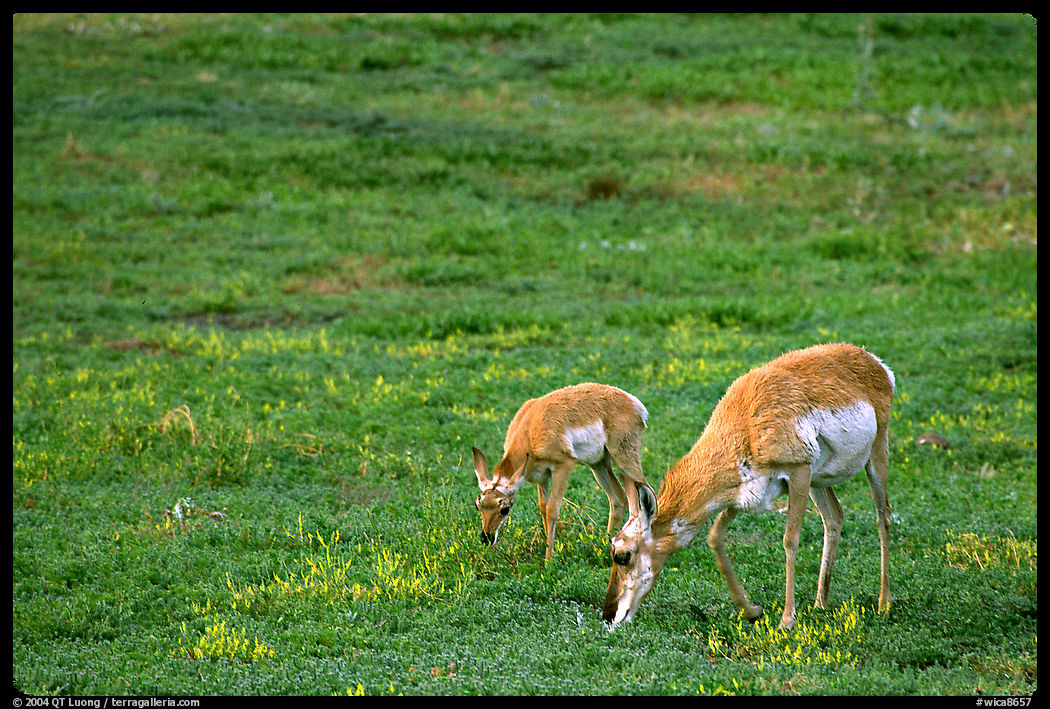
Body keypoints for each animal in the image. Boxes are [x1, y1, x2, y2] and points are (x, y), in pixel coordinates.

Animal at [472, 382, 652, 562]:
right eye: (478, 506)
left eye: (505, 509)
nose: (486, 538)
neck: (529, 430)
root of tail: (632, 402)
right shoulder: (542, 477)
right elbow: (543, 507)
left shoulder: (562, 467)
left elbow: (552, 509)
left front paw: (549, 559)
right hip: (599, 464)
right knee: (619, 498)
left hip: (624, 459)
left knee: (645, 493)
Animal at [603, 343, 895, 630]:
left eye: (623, 555)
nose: (608, 614)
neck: (743, 427)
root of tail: (872, 360)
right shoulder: (741, 497)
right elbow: (715, 537)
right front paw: (751, 610)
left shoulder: (798, 473)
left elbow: (790, 540)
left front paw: (786, 619)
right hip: (818, 481)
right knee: (834, 517)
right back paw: (820, 603)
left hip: (874, 458)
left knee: (883, 516)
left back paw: (884, 603)